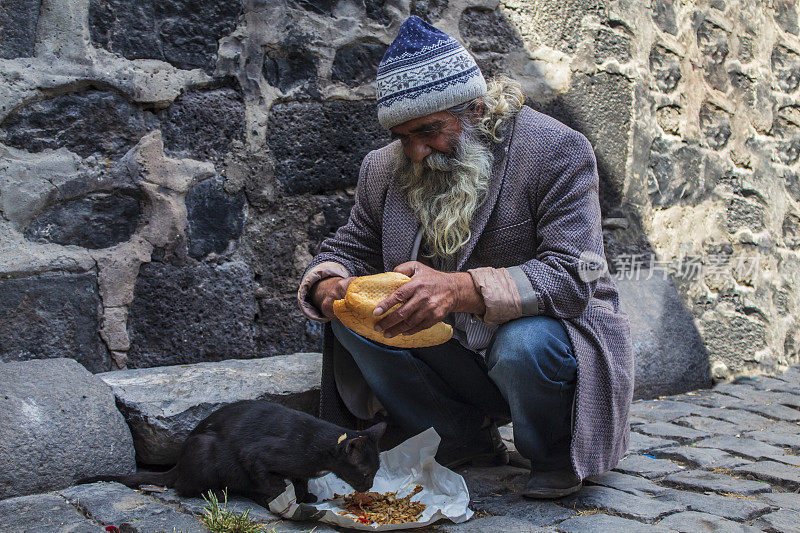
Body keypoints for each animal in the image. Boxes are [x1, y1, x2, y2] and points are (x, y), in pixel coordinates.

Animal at [83, 400, 390, 502]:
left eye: (376, 471)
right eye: (365, 473)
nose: (369, 486)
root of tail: (178, 461)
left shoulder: (301, 470)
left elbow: (301, 482)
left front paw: (305, 498)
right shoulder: (259, 454)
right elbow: (269, 478)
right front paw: (278, 492)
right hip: (203, 450)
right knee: (184, 487)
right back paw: (220, 493)